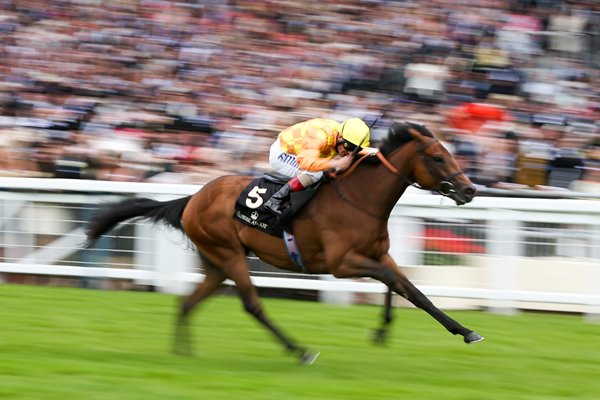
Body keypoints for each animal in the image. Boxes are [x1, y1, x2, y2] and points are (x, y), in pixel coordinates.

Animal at [85, 120, 482, 364]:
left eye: (451, 153)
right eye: (437, 157)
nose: (470, 190)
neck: (360, 198)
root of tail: (193, 198)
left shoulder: (379, 254)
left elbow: (410, 290)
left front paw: (463, 331)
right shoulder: (342, 263)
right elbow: (393, 282)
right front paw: (385, 330)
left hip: (215, 262)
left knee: (187, 302)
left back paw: (183, 352)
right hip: (229, 255)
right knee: (252, 305)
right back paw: (300, 351)